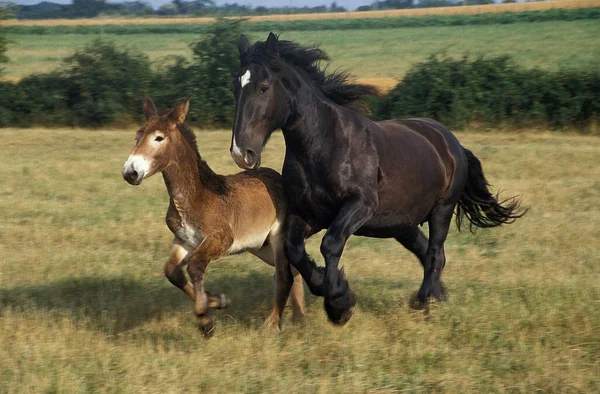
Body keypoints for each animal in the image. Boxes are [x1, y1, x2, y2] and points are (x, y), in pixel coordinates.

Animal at [230, 33, 524, 324]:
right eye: (236, 88)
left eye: (263, 87)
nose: (241, 152)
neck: (324, 144)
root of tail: (452, 143)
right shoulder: (307, 214)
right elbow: (295, 250)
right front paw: (334, 291)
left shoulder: (360, 205)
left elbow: (331, 244)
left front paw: (339, 303)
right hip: (403, 224)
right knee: (427, 252)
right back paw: (438, 299)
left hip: (442, 209)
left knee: (434, 254)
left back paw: (422, 304)